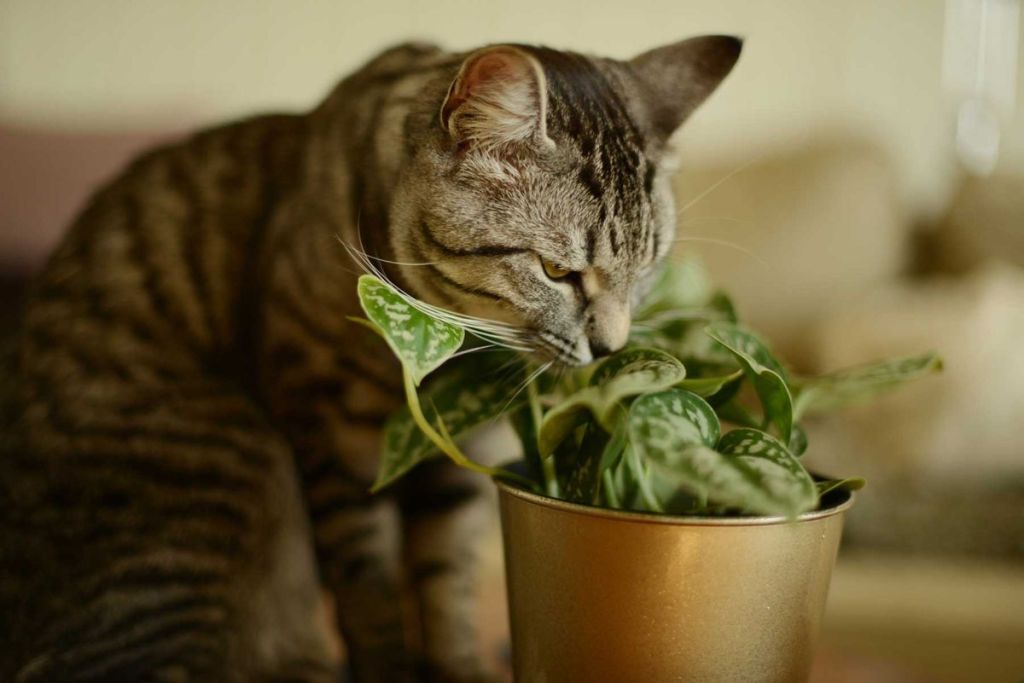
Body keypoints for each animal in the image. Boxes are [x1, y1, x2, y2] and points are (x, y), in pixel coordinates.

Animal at [0, 38, 741, 683]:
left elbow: (445, 582)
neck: (431, 348)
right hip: (224, 463)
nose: (612, 347)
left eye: (646, 268)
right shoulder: (331, 437)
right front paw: (389, 667)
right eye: (558, 271)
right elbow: (369, 587)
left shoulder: (460, 447)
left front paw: (460, 668)